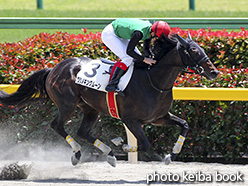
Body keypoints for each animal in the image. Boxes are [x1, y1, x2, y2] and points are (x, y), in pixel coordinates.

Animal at [0, 33, 218, 167]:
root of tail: (53, 68)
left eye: (201, 48)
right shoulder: (131, 119)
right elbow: (145, 144)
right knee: (57, 126)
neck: (154, 81)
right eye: (194, 51)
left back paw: (109, 154)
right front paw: (123, 145)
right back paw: (78, 153)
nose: (214, 72)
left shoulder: (159, 117)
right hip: (67, 104)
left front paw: (171, 154)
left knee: (83, 131)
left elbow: (184, 125)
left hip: (90, 108)